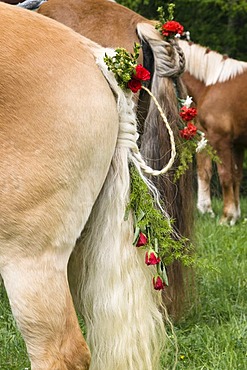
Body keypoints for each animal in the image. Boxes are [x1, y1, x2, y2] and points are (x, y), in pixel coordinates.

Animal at [178, 39, 247, 224]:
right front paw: (235, 214)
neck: (210, 85)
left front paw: (226, 217)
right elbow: (236, 175)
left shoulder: (220, 139)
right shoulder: (237, 144)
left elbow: (225, 176)